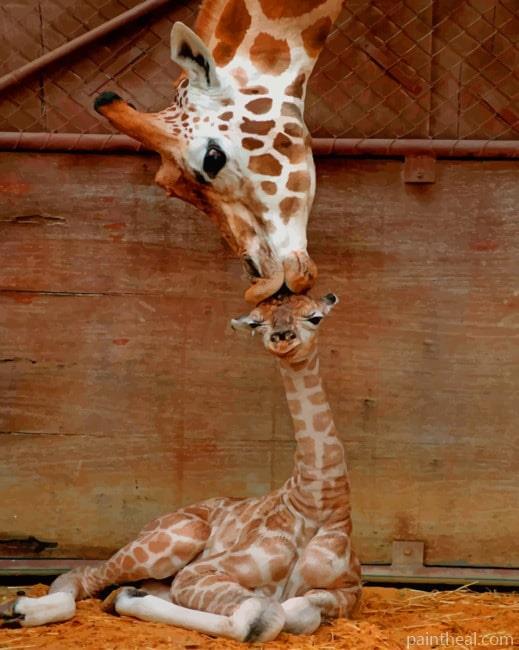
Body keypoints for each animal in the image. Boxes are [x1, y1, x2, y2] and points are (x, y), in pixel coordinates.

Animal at [0, 291, 361, 642]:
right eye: (257, 323)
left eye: (315, 317)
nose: (281, 338)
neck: (317, 500)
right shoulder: (200, 572)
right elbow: (265, 615)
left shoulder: (349, 591)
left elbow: (299, 611)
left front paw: (127, 598)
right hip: (176, 539)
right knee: (79, 576)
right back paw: (16, 608)